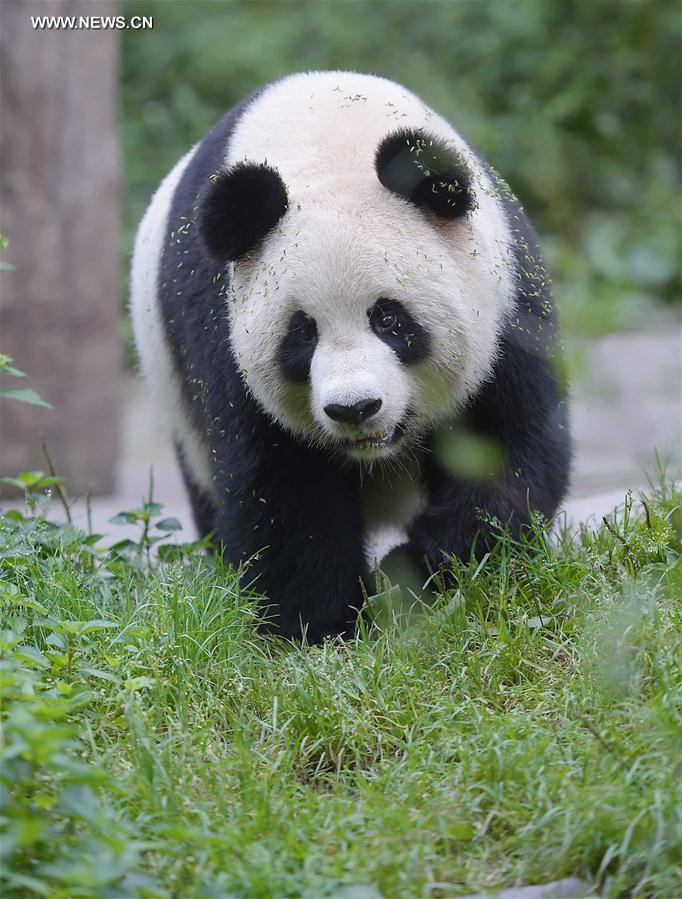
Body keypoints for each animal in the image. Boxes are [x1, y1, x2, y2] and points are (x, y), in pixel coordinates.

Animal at [131, 71, 571, 640]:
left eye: (389, 319)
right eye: (302, 334)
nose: (355, 408)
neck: (329, 140)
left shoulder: (504, 302)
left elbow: (506, 451)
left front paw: (415, 574)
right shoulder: (220, 327)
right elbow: (281, 487)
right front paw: (323, 626)